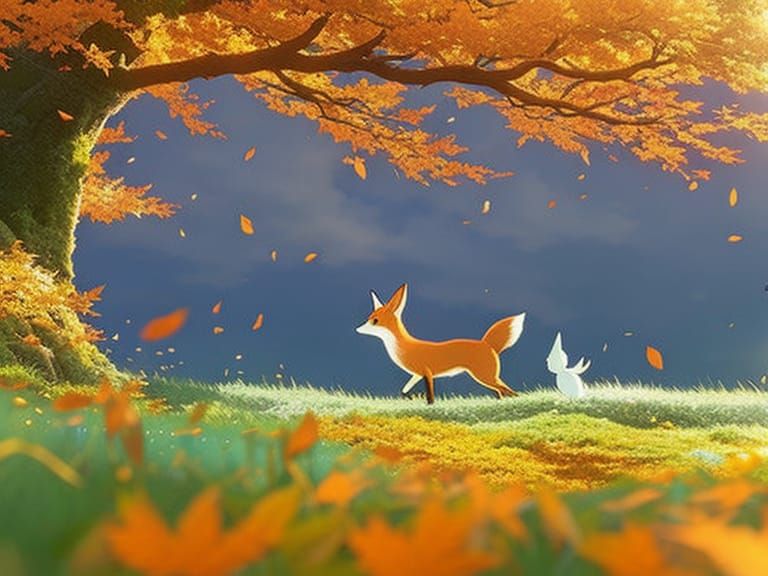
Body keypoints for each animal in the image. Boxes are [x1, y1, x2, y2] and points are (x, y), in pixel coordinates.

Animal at [356, 283, 526, 404]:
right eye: (368, 318)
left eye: (374, 321)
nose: (357, 329)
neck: (404, 347)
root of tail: (486, 343)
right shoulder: (416, 375)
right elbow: (404, 391)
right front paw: (411, 398)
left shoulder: (427, 373)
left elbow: (430, 396)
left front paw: (429, 405)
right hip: (488, 378)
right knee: (500, 392)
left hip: (484, 377)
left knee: (509, 391)